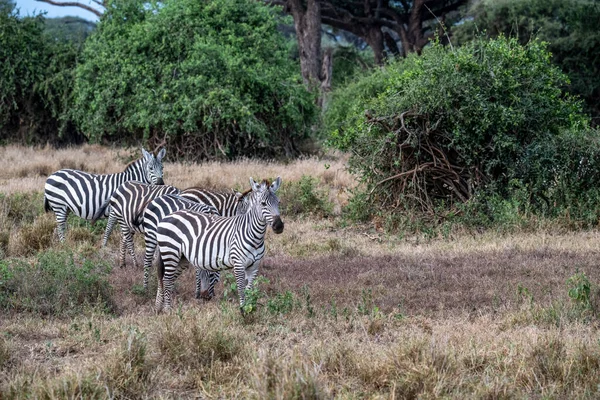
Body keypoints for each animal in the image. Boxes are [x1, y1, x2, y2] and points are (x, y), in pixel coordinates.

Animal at [156, 177, 284, 312]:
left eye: (278, 203)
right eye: (263, 203)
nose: (279, 226)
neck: (254, 236)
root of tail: (168, 215)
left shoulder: (254, 266)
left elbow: (249, 290)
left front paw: (250, 309)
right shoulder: (238, 264)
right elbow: (241, 289)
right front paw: (243, 311)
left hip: (182, 258)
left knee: (169, 278)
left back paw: (161, 306)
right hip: (170, 252)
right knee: (167, 279)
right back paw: (167, 309)